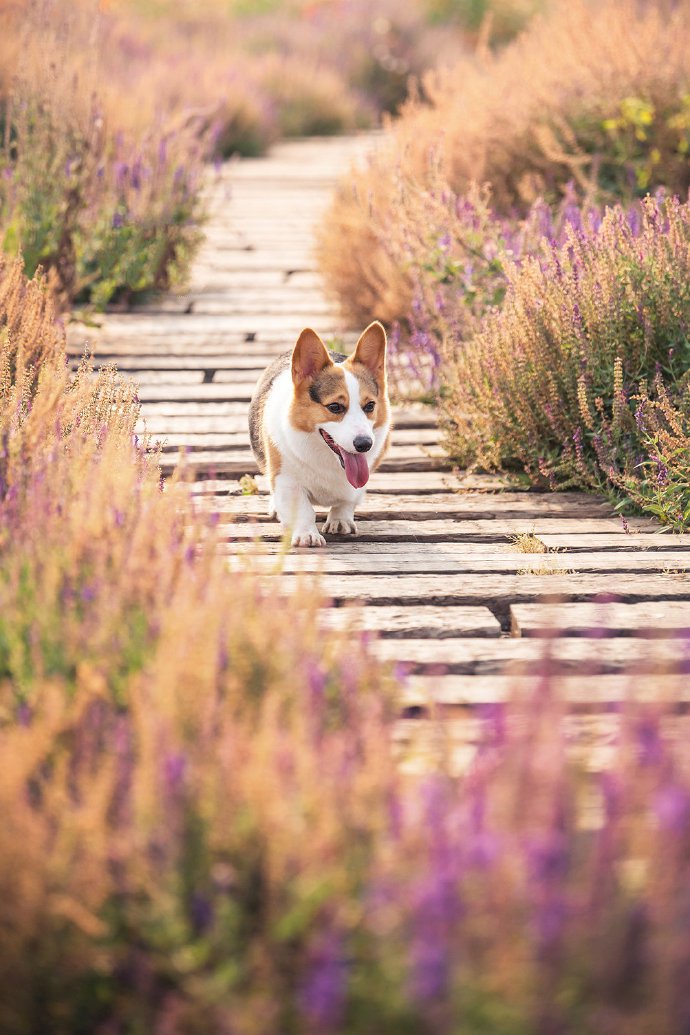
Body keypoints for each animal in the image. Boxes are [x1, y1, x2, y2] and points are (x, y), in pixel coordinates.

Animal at [248, 320, 391, 550]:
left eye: (370, 406)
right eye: (334, 407)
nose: (364, 444)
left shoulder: (361, 480)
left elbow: (347, 501)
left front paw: (340, 521)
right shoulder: (288, 481)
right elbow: (304, 511)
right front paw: (307, 535)